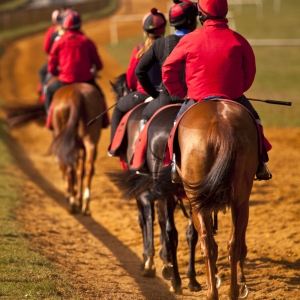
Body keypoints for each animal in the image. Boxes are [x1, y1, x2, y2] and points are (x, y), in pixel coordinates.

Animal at [49, 81, 105, 216]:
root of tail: (76, 94)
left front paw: (71, 194)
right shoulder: (80, 147)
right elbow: (80, 171)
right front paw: (78, 197)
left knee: (68, 167)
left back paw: (73, 203)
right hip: (90, 140)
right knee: (89, 168)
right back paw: (85, 203)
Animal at [106, 74, 202, 292]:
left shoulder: (146, 188)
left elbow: (146, 219)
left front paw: (150, 261)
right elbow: (163, 221)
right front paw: (166, 261)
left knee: (167, 227)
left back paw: (173, 278)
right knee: (189, 232)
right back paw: (190, 279)